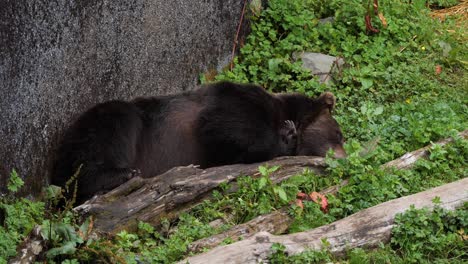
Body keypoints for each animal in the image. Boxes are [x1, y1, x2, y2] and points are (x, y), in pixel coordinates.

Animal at [51, 82, 346, 204]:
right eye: (339, 133)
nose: (345, 158)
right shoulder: (232, 101)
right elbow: (222, 123)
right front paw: (287, 136)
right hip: (117, 123)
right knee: (111, 126)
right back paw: (119, 174)